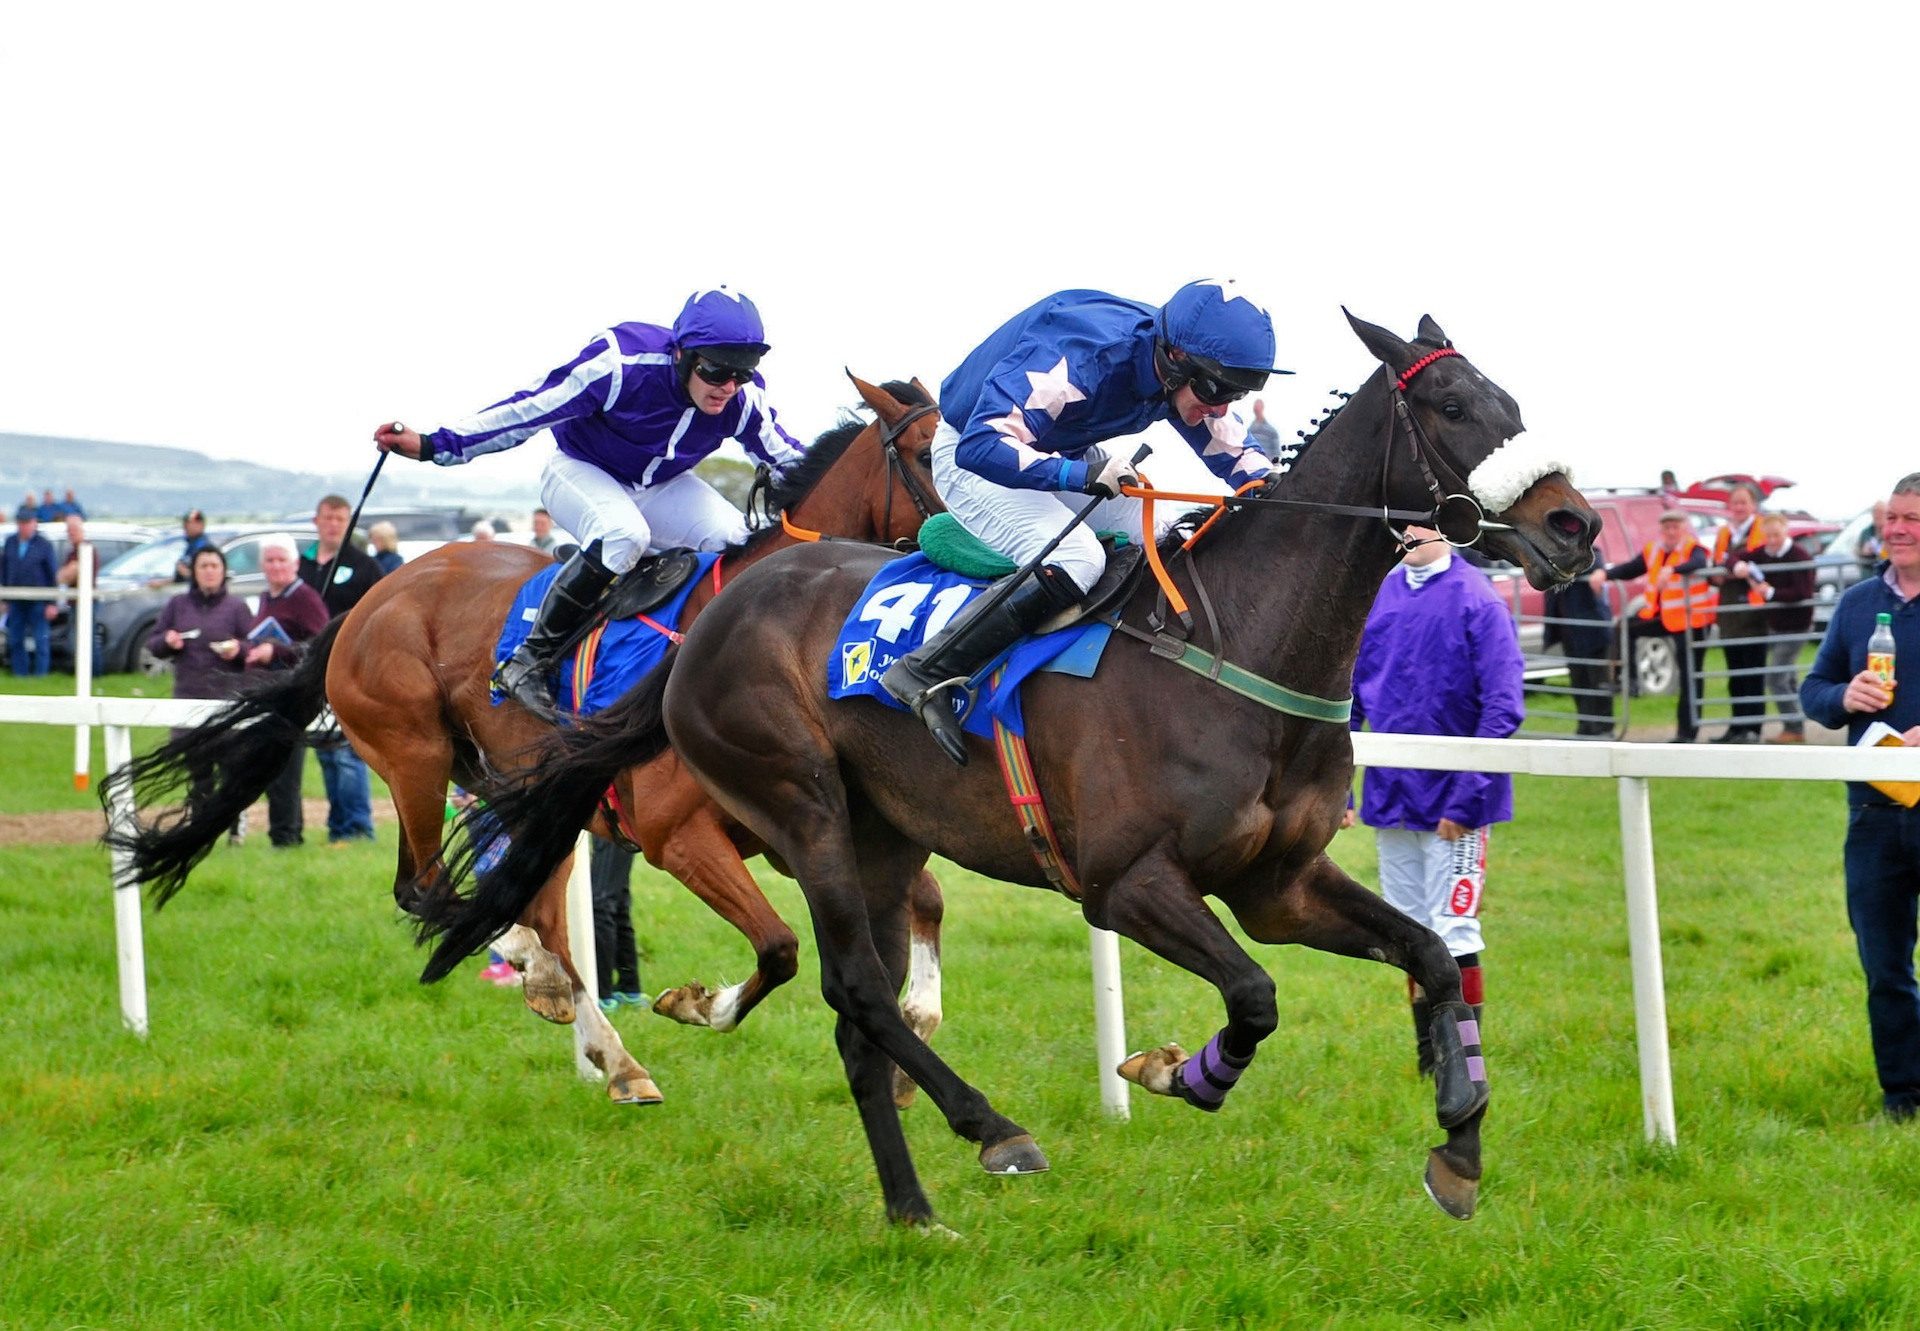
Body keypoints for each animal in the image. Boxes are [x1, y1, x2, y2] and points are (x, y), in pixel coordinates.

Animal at [105, 370, 944, 1098]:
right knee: (433, 891)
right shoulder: (677, 835)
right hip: (415, 752)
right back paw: (539, 977)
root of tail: (368, 597)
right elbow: (779, 947)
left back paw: (611, 1055)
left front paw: (914, 1032)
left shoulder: (792, 829)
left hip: (515, 787)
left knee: (530, 914)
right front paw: (695, 1002)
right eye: (925, 453)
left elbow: (926, 899)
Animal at [412, 311, 1597, 1221]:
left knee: (859, 1015)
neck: (1234, 647)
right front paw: (1177, 1070)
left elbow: (1432, 959)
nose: (1576, 524)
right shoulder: (1128, 882)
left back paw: (911, 1207)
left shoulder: (1280, 881)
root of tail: (716, 612)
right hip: (800, 809)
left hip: (883, 841)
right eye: (1456, 410)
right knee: (853, 986)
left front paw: (1458, 1146)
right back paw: (992, 1128)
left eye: (1511, 401)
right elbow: (1256, 997)